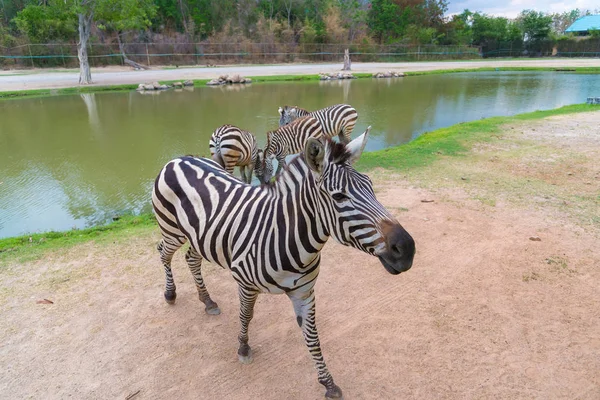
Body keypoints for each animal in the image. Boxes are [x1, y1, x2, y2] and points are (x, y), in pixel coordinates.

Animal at [150, 129, 414, 400]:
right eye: (339, 196)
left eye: (371, 186)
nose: (407, 249)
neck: (289, 236)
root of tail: (180, 159)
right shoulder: (245, 283)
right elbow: (246, 315)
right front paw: (243, 348)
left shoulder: (304, 292)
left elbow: (312, 337)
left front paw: (328, 383)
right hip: (172, 230)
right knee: (163, 254)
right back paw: (170, 294)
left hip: (199, 237)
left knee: (191, 259)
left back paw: (207, 300)